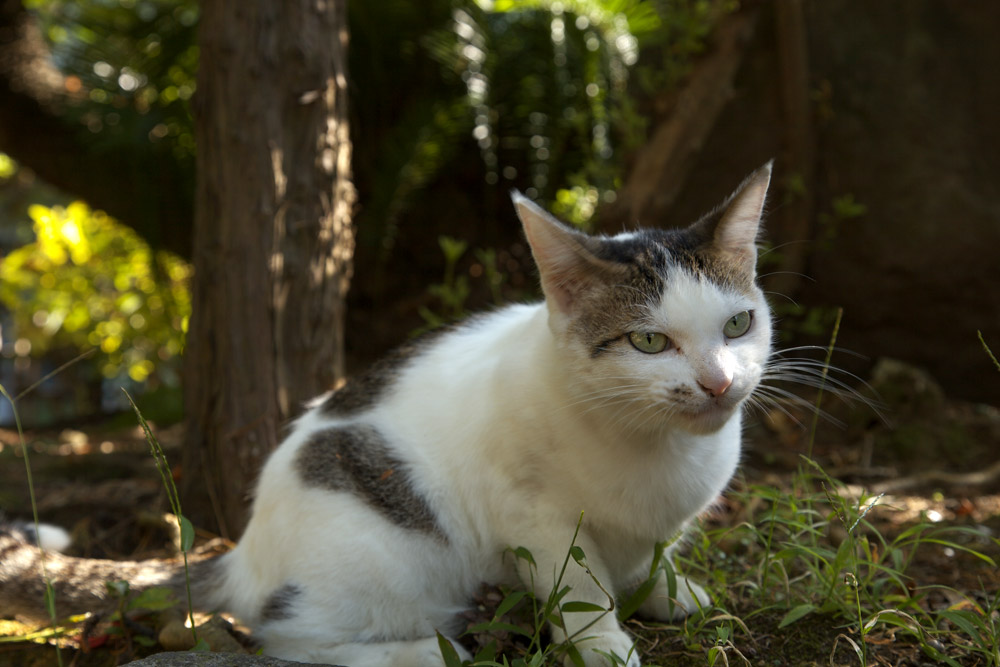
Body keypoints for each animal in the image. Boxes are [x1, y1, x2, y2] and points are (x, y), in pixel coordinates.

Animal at [0, 163, 772, 667]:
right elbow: (580, 586)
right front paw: (603, 641)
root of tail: (245, 551)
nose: (717, 383)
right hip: (385, 555)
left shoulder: (654, 525)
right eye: (649, 342)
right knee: (289, 637)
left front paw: (667, 593)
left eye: (738, 325)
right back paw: (427, 650)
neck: (654, 446)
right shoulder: (534, 516)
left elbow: (650, 557)